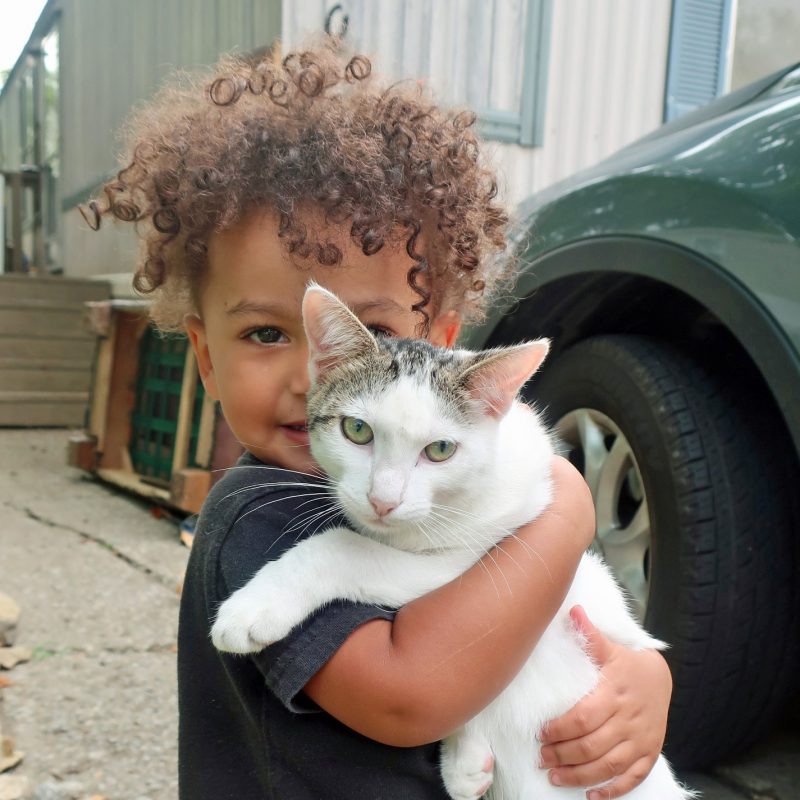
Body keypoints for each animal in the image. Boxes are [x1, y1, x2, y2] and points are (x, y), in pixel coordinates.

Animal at [211, 286, 692, 800]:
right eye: (357, 430)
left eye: (440, 450)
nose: (384, 500)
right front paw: (465, 759)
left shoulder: (485, 558)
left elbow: (344, 546)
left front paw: (253, 608)